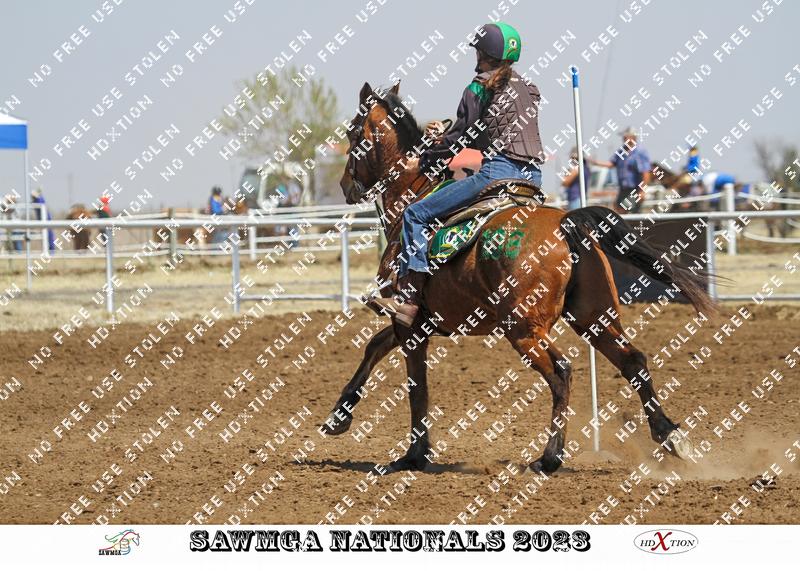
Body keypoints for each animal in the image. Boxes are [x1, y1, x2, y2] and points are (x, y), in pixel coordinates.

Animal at [320, 81, 714, 474]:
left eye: (352, 133)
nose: (344, 184)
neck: (411, 196)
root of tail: (565, 223)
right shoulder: (420, 322)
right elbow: (374, 347)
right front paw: (339, 417)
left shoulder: (410, 323)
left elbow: (417, 386)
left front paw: (414, 455)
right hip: (595, 317)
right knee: (633, 362)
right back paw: (671, 437)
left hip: (523, 328)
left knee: (561, 372)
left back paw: (550, 457)